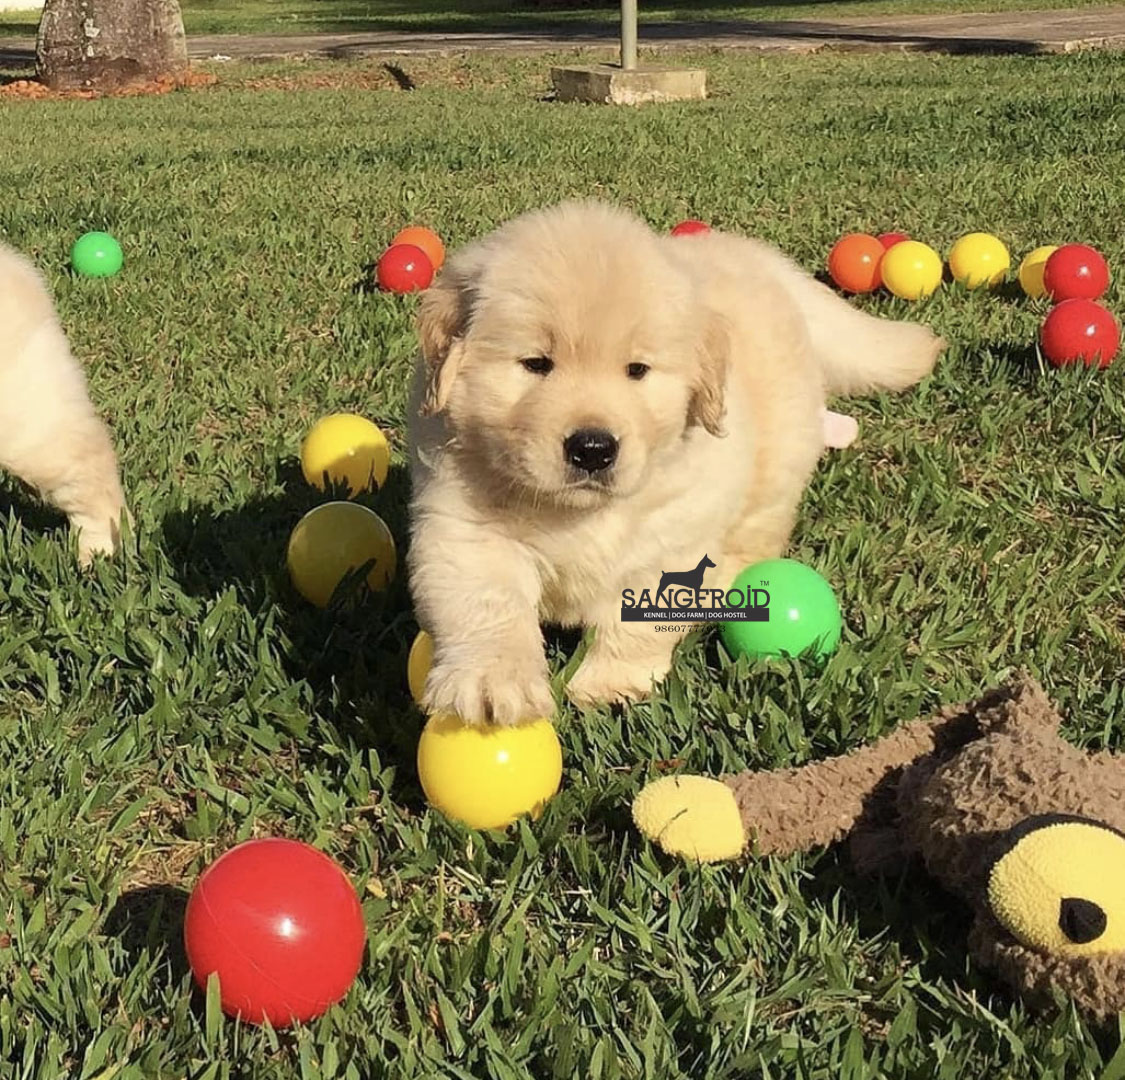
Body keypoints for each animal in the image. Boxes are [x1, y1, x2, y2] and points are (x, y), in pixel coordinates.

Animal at [407, 202, 940, 724]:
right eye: (536, 364)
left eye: (637, 370)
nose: (593, 449)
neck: (576, 514)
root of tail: (758, 256)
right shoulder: (464, 527)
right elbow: (485, 604)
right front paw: (491, 685)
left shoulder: (673, 533)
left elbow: (639, 620)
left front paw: (610, 684)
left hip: (779, 463)